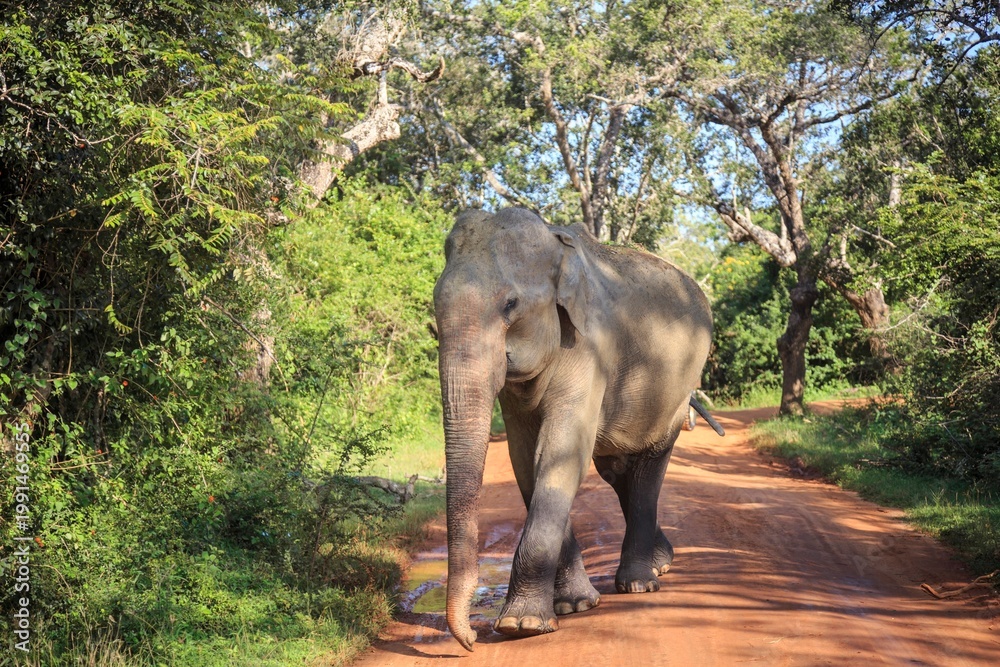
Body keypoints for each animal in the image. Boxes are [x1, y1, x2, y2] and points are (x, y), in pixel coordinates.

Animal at [433, 207, 714, 651]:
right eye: (434, 306)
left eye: (510, 304)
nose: (471, 640)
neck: (556, 246)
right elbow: (526, 460)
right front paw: (572, 607)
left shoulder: (590, 345)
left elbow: (559, 452)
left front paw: (522, 625)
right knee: (617, 471)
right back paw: (661, 564)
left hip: (676, 389)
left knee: (648, 468)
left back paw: (639, 583)